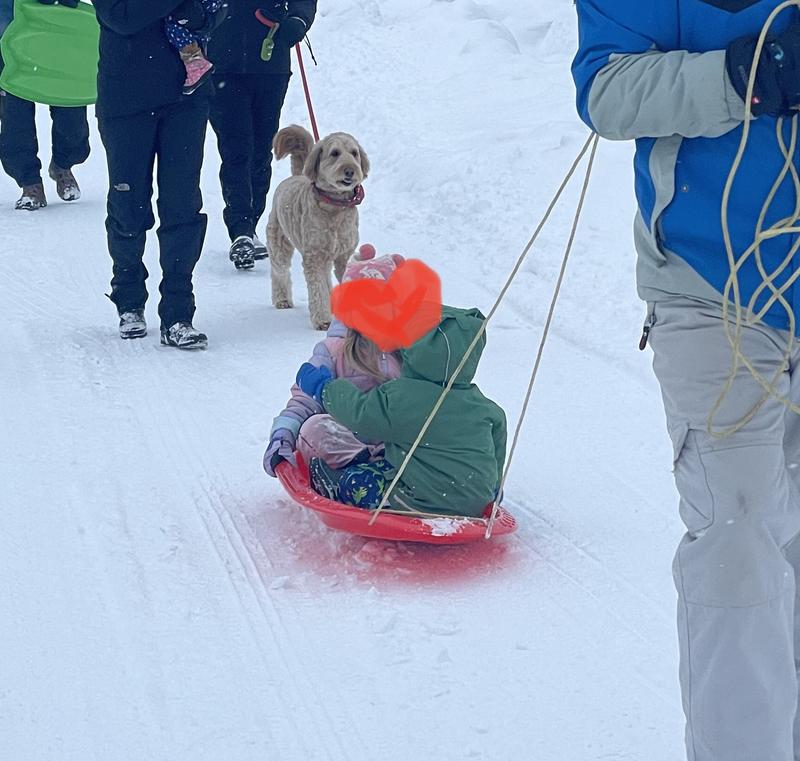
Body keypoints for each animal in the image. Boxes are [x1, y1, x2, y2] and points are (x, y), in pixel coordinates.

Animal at [268, 124, 370, 330]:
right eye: (335, 153)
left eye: (354, 153)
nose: (350, 170)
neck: (335, 206)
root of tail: (297, 176)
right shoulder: (313, 257)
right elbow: (317, 290)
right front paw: (323, 320)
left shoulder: (343, 256)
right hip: (279, 242)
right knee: (279, 271)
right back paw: (282, 299)